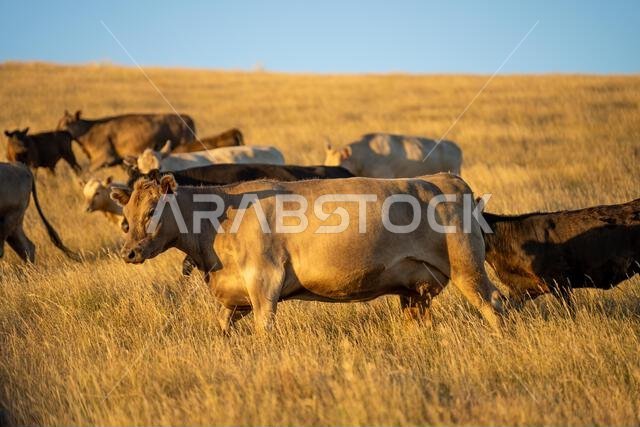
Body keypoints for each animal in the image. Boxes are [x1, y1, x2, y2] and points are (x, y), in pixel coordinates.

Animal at [110, 173, 505, 334]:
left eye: (152, 211)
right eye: (125, 217)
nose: (129, 253)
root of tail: (446, 178)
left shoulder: (264, 280)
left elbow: (264, 326)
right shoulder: (235, 293)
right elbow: (222, 325)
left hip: (467, 267)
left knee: (493, 302)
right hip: (414, 289)